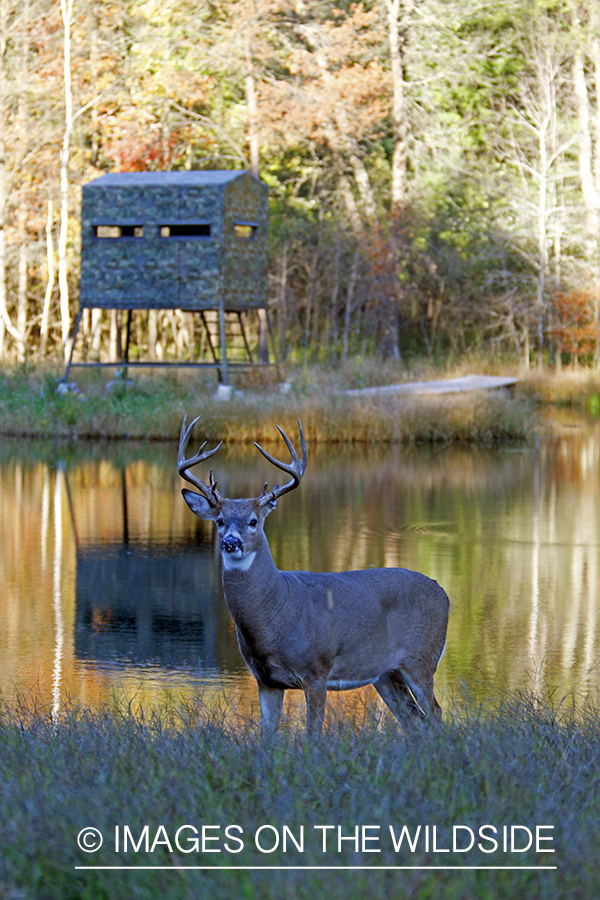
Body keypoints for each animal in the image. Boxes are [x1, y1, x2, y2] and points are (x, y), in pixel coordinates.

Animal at [178, 416, 450, 740]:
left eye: (253, 521)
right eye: (220, 521)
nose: (230, 542)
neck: (274, 614)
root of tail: (444, 593)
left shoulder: (317, 670)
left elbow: (313, 734)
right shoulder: (265, 679)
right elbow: (266, 736)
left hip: (421, 658)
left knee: (435, 713)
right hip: (385, 673)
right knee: (413, 719)